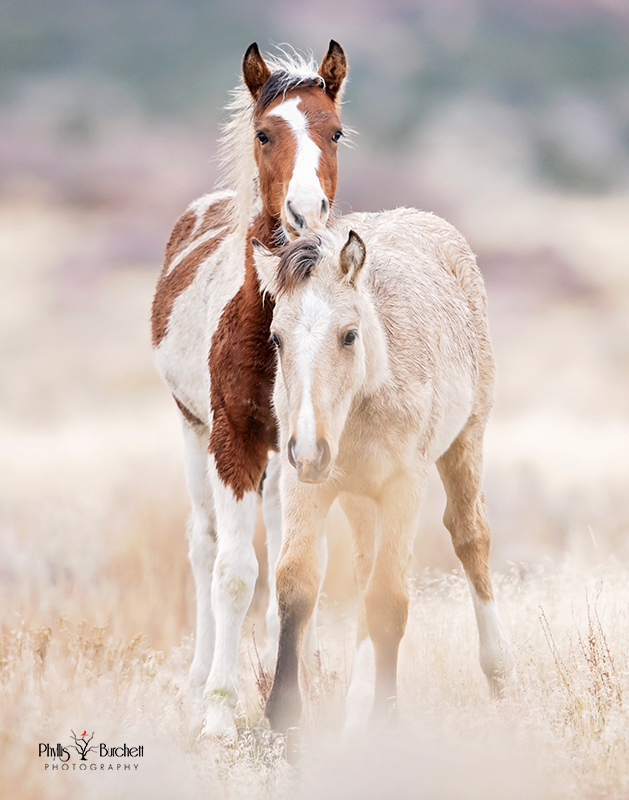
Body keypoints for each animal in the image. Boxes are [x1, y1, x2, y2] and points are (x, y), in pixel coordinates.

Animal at [152, 40, 348, 736]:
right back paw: (198, 683)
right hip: (193, 434)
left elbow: (300, 570)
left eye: (335, 131)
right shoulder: (231, 440)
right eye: (265, 134)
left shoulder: (304, 448)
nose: (305, 215)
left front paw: (300, 692)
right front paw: (218, 711)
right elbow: (233, 573)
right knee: (204, 545)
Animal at [255, 209, 516, 736]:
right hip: (358, 497)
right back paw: (355, 703)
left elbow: (389, 600)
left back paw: (498, 671)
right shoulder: (304, 485)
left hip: (465, 442)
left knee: (470, 536)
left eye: (349, 335)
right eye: (276, 337)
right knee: (363, 567)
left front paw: (384, 721)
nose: (310, 449)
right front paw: (286, 718)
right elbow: (296, 583)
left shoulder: (403, 487)